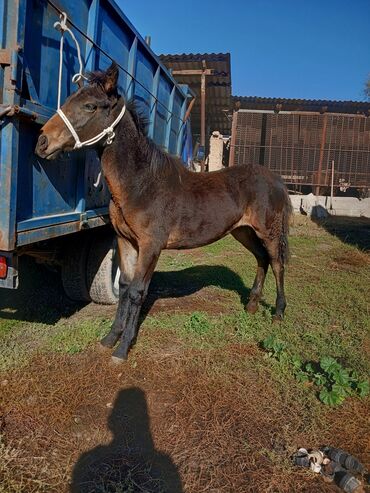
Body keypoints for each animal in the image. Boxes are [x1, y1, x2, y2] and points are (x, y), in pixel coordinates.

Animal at [36, 62, 294, 362]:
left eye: (90, 106)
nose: (42, 142)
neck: (141, 183)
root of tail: (277, 180)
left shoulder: (151, 245)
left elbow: (137, 291)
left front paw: (123, 349)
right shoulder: (126, 242)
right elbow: (124, 287)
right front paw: (110, 339)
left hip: (269, 232)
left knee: (276, 263)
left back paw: (278, 313)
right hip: (243, 231)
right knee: (261, 259)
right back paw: (251, 306)